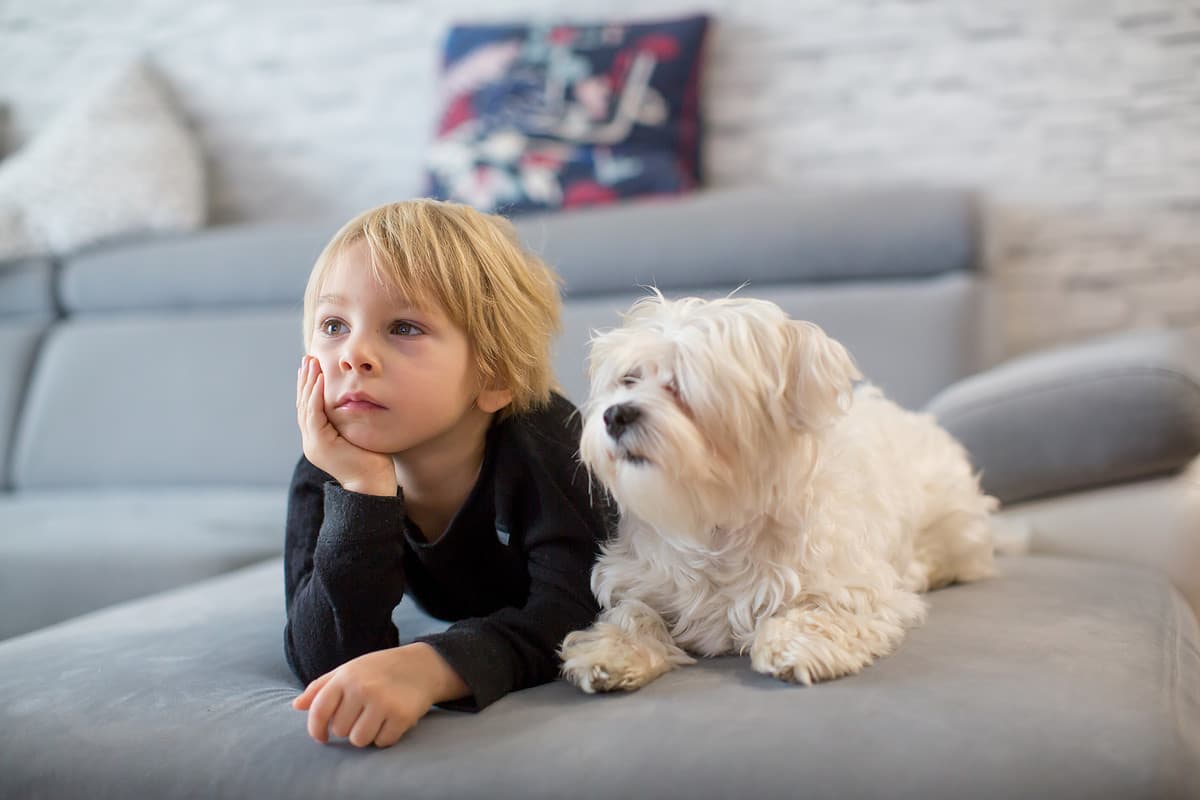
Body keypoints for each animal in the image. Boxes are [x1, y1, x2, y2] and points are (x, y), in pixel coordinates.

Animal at [556, 296, 998, 695]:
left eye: (680, 384)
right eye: (628, 380)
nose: (615, 414)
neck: (714, 520)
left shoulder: (858, 586)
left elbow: (827, 610)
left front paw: (795, 645)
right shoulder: (639, 578)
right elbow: (633, 612)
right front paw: (612, 652)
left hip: (954, 523)